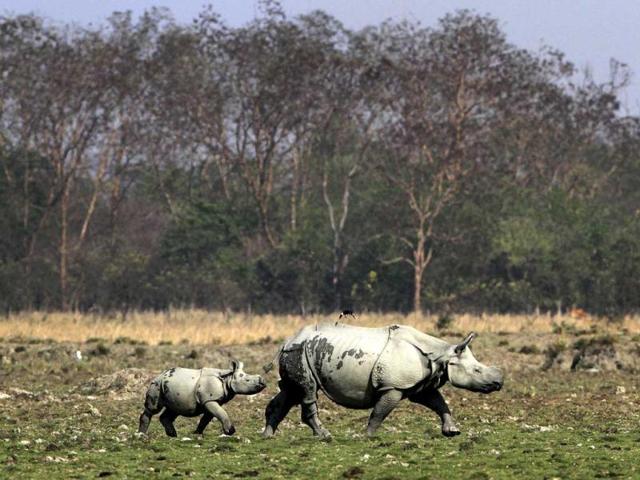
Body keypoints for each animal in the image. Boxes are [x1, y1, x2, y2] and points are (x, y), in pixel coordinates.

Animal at [262, 324, 503, 439]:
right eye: (477, 370)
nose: (499, 383)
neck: (441, 355)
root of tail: (286, 341)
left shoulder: (420, 385)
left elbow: (438, 403)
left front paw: (452, 432)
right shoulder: (393, 386)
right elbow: (380, 411)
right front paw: (366, 436)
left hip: (299, 352)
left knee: (291, 391)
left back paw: (267, 436)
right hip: (299, 352)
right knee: (307, 391)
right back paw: (325, 436)